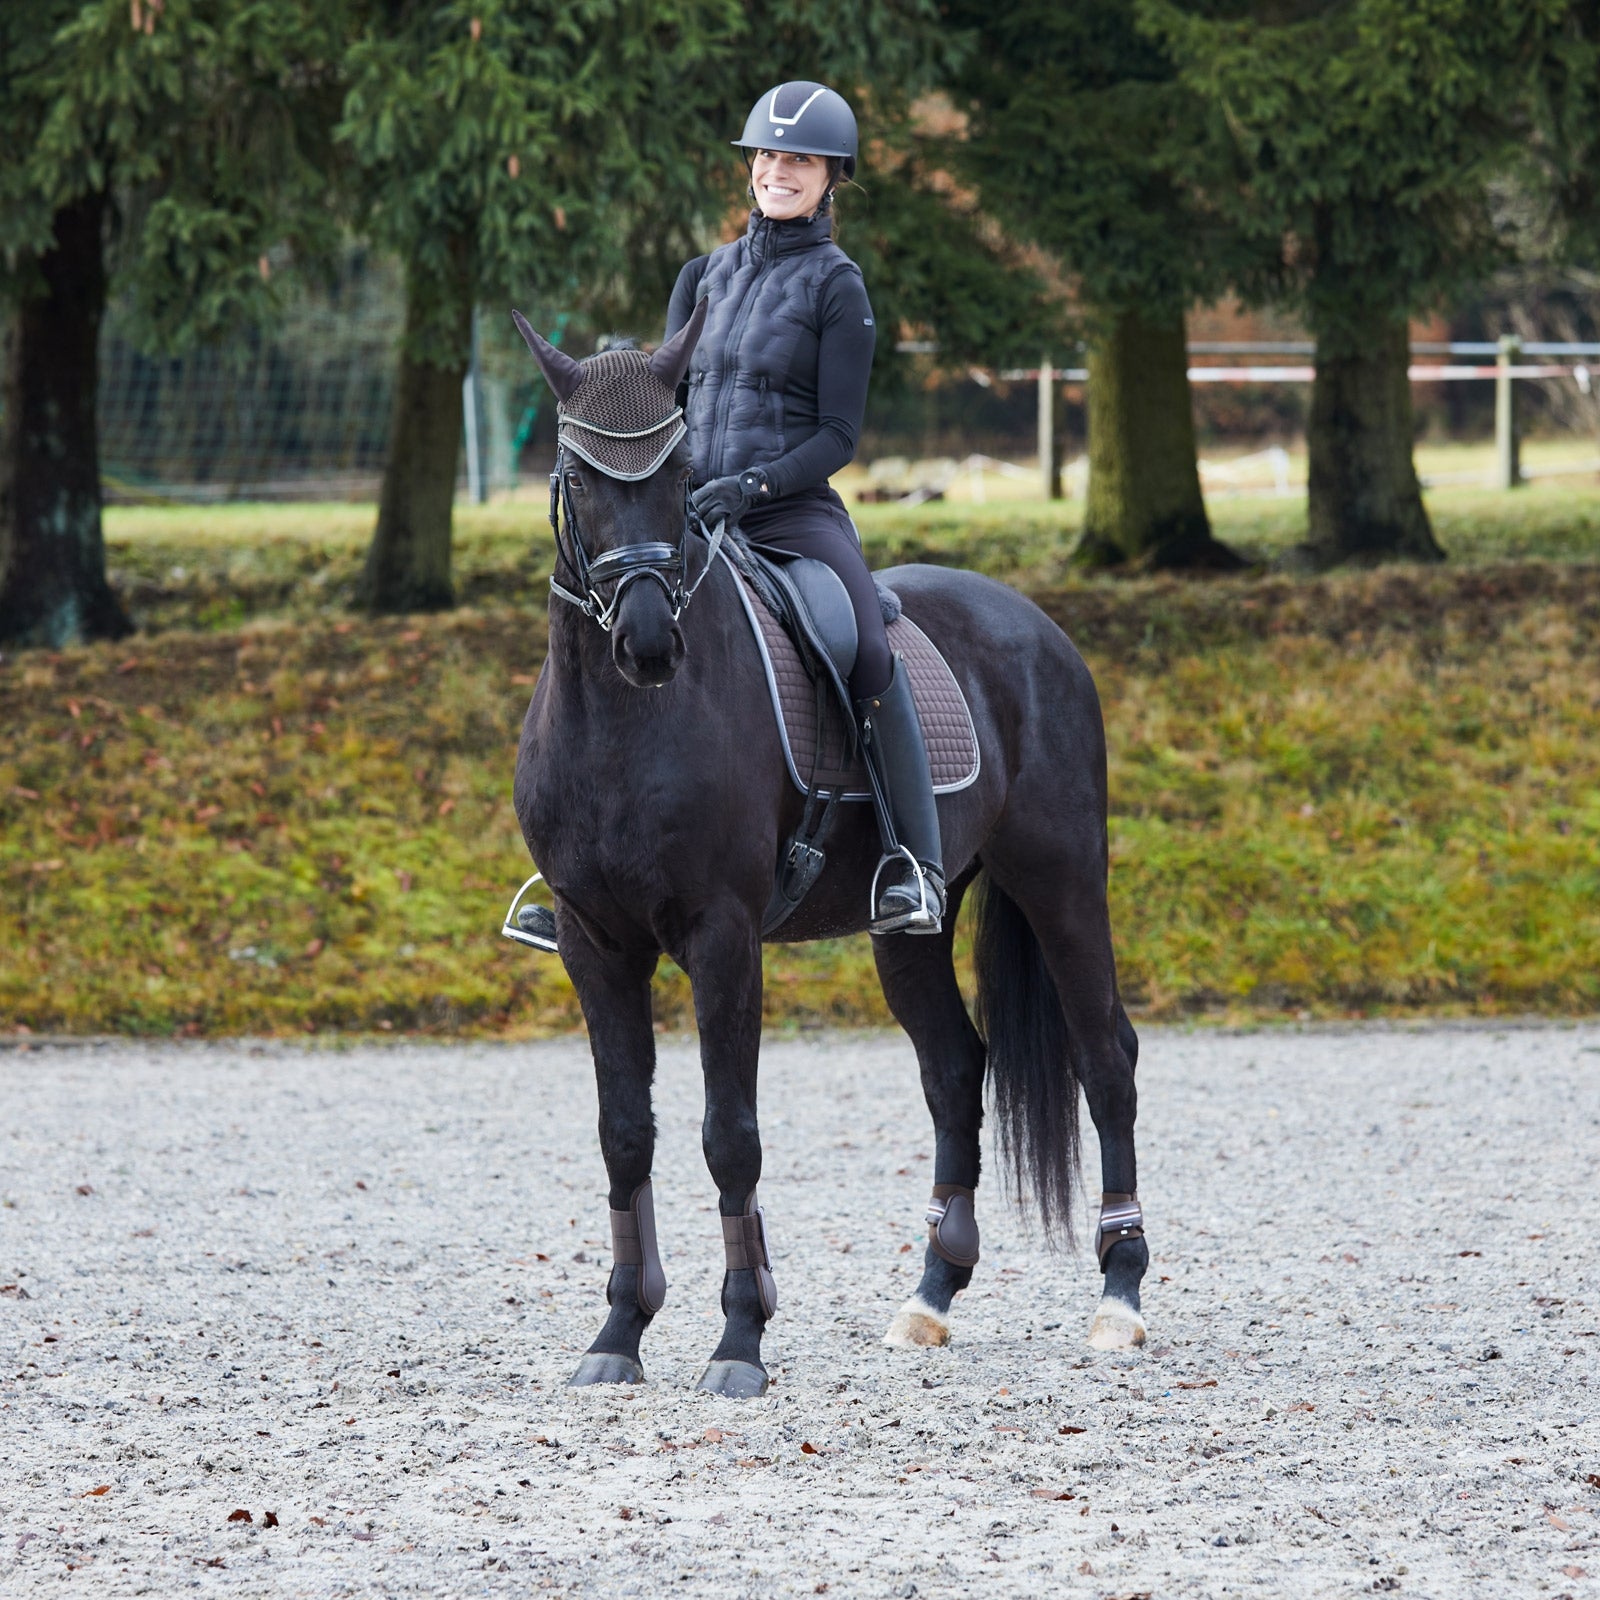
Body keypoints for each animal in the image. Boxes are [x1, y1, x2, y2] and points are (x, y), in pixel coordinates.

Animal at [509, 303, 1149, 1398]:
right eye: (581, 477)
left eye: (680, 479)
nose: (648, 643)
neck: (621, 723)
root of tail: (1037, 625)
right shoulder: (596, 943)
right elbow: (624, 1134)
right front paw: (620, 1332)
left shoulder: (723, 937)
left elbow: (730, 1136)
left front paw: (738, 1341)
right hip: (913, 925)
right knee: (956, 1069)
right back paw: (931, 1294)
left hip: (1062, 883)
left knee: (1105, 1057)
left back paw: (1119, 1296)